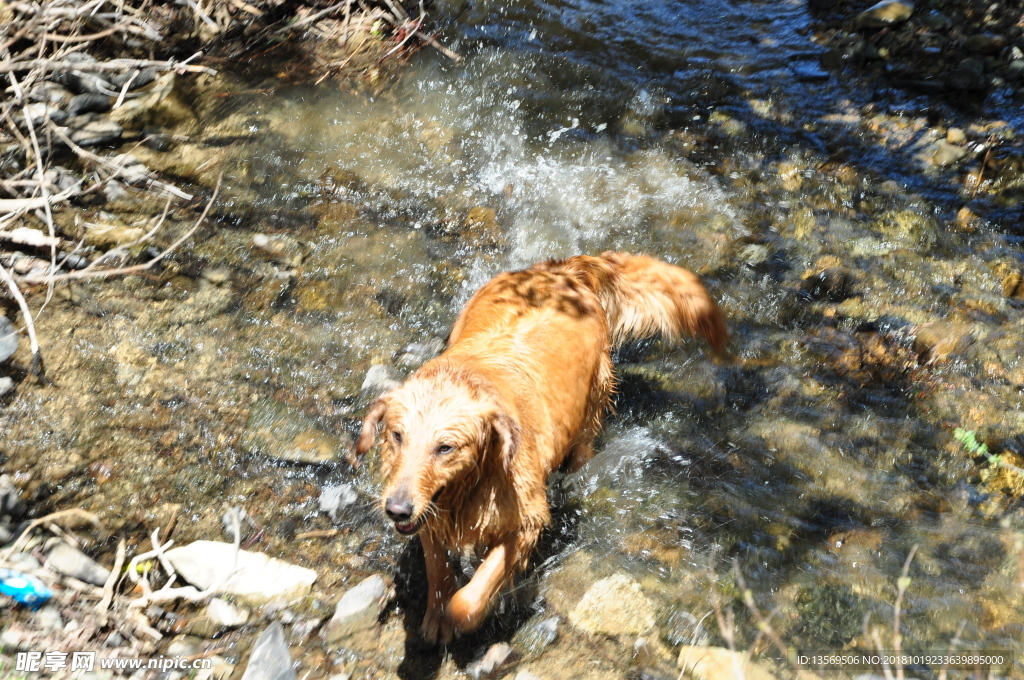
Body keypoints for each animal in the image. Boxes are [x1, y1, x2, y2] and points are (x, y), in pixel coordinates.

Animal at [356, 253, 724, 643]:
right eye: (397, 436)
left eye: (445, 448)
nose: (396, 510)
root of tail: (562, 270)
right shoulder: (428, 511)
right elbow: (436, 563)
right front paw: (437, 614)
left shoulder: (526, 520)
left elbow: (471, 598)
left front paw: (461, 614)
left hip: (593, 398)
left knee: (584, 445)